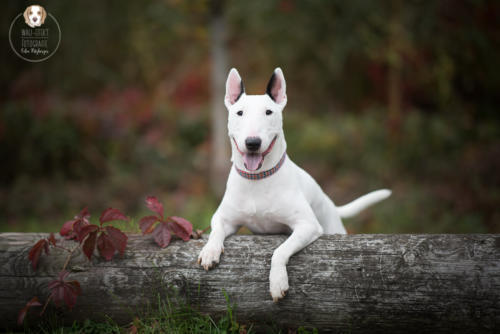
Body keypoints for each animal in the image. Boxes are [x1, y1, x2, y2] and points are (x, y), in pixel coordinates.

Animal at [198, 68, 390, 302]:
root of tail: (330, 204)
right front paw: (210, 251)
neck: (258, 178)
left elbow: (279, 250)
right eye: (239, 113)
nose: (253, 143)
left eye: (269, 112)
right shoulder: (224, 218)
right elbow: (216, 230)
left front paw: (278, 282)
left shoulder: (307, 225)